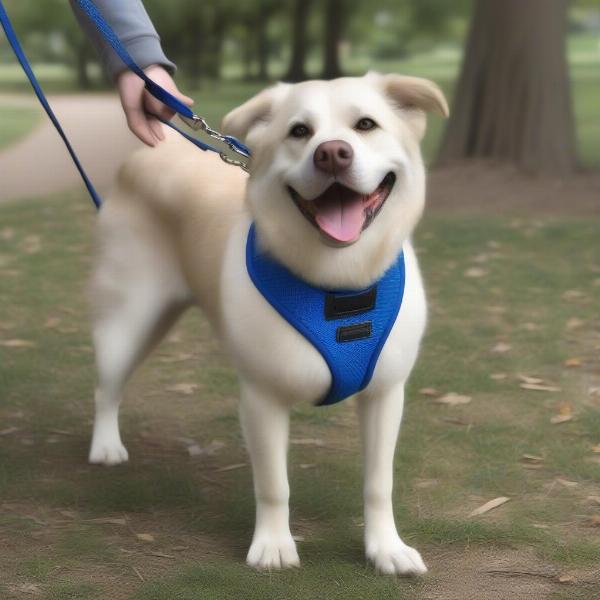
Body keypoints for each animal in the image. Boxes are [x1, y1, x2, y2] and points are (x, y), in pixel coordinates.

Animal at [88, 72, 446, 576]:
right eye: (299, 131)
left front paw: (385, 548)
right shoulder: (263, 399)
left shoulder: (385, 395)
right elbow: (275, 484)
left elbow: (379, 482)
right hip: (130, 318)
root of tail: (150, 152)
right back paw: (105, 446)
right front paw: (274, 546)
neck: (338, 281)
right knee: (107, 385)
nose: (331, 153)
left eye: (366, 125)